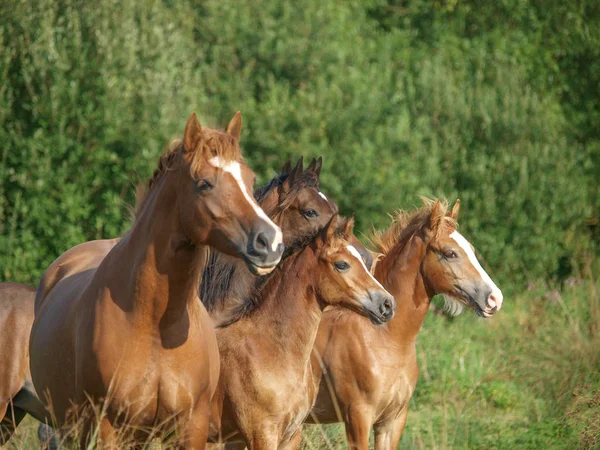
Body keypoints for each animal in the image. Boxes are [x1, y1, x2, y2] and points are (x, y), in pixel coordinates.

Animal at [31, 110, 286, 448]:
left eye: (250, 179)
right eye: (204, 183)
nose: (270, 242)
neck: (153, 325)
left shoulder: (192, 428)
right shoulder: (106, 427)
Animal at [302, 200, 504, 450]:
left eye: (472, 250)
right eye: (450, 253)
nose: (495, 298)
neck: (386, 340)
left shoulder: (392, 421)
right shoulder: (358, 418)